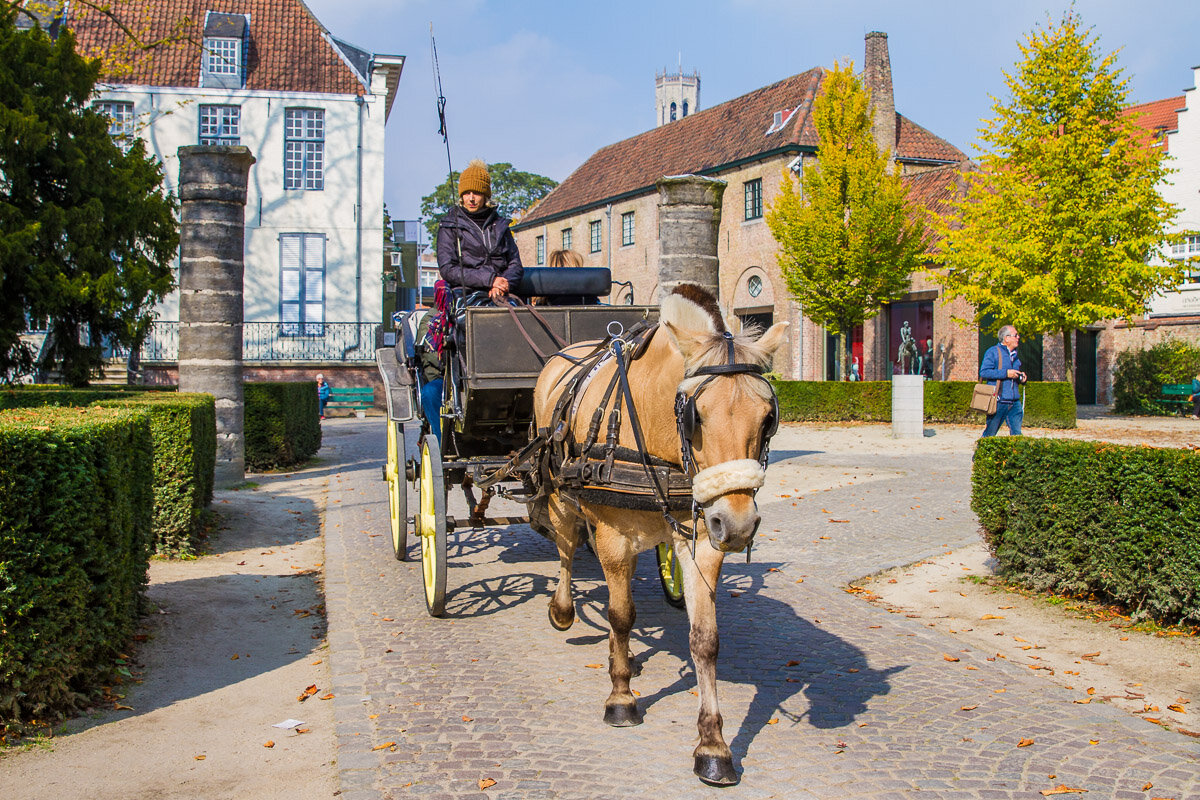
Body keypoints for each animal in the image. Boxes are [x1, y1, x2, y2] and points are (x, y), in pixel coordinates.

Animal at [532, 284, 787, 786]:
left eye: (768, 417)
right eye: (695, 416)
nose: (738, 526)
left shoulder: (701, 537)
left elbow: (704, 638)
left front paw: (713, 745)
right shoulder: (614, 537)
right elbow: (621, 615)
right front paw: (621, 698)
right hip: (559, 493)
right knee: (567, 548)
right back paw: (565, 610)